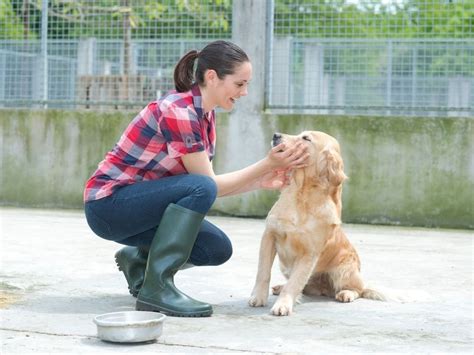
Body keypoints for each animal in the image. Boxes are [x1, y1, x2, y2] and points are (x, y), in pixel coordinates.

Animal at [248, 131, 386, 318]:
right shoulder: (269, 235)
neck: (302, 195)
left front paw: (283, 305)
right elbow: (263, 272)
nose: (276, 135)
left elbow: (295, 282)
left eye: (306, 138)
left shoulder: (309, 253)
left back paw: (346, 293)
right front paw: (258, 297)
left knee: (358, 289)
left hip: (344, 269)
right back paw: (280, 287)